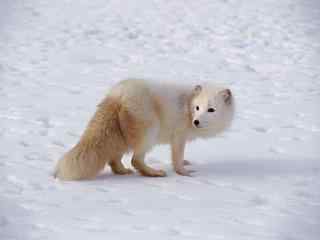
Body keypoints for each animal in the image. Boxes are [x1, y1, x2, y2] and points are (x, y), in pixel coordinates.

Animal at [54, 79, 235, 180]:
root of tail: (117, 94)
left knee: (114, 159)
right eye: (197, 108)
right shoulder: (178, 137)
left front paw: (185, 162)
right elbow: (176, 158)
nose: (196, 121)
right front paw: (184, 173)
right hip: (149, 133)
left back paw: (123, 171)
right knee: (135, 160)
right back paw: (154, 173)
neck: (186, 104)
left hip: (121, 136)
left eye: (211, 110)